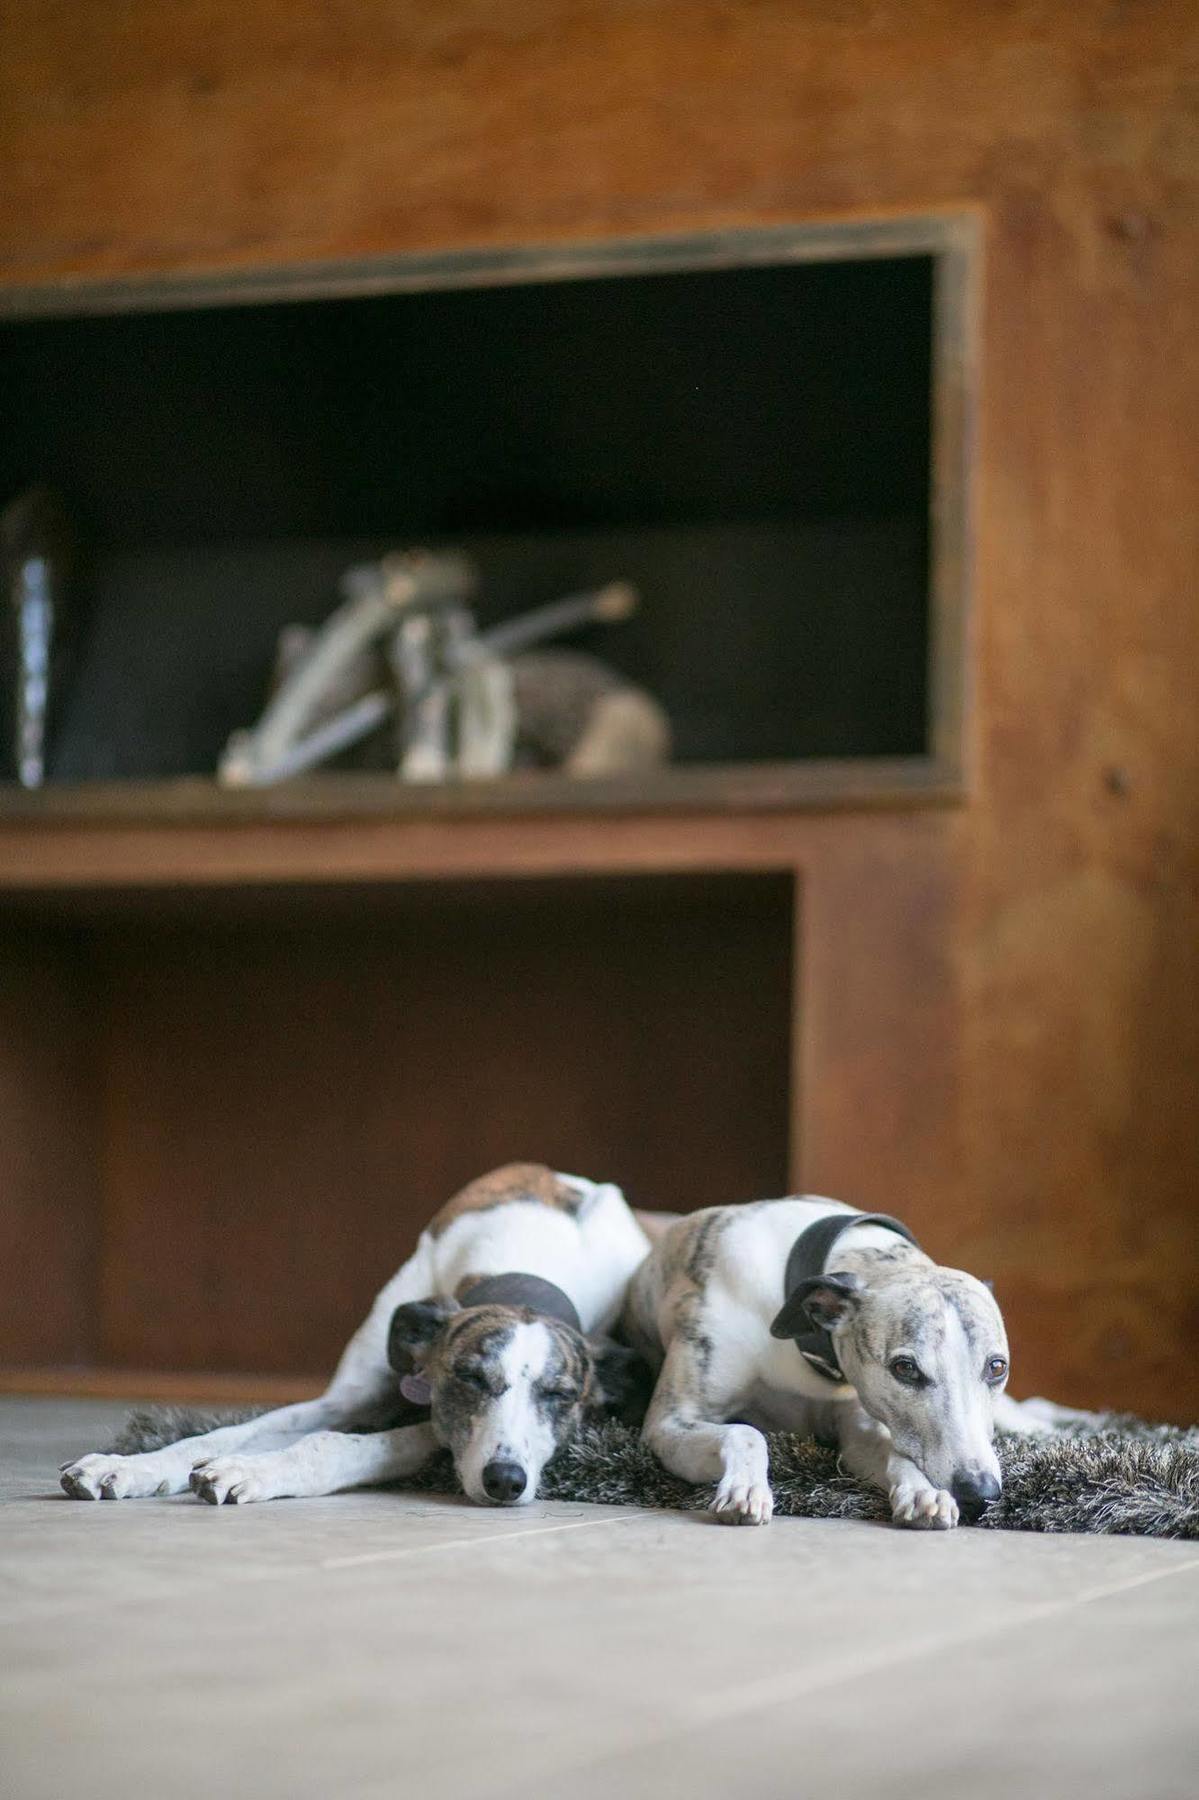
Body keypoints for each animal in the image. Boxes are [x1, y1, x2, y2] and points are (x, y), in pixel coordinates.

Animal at [60, 1166, 648, 1504]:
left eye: (561, 1396)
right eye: (469, 1378)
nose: (506, 1482)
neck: (529, 1259)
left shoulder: (433, 1427)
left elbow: (338, 1445)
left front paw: (250, 1472)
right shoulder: (351, 1397)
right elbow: (225, 1434)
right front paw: (129, 1466)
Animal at [619, 1195, 1058, 1533]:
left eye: (997, 1367)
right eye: (905, 1368)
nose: (980, 1493)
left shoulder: (857, 1421)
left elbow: (893, 1453)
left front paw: (923, 1493)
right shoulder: (668, 1423)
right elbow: (746, 1433)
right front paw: (745, 1489)